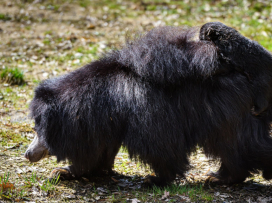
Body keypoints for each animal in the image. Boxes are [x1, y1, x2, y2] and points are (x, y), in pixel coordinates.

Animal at [24, 21, 272, 186]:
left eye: (38, 130)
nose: (27, 154)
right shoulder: (104, 124)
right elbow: (98, 151)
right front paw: (64, 171)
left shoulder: (144, 109)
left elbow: (158, 143)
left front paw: (155, 179)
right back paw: (221, 177)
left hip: (227, 110)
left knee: (239, 143)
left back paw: (221, 177)